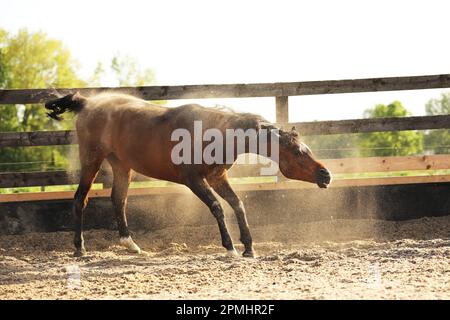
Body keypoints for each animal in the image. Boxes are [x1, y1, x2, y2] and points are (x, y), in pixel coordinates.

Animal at [44, 92, 330, 258]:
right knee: (80, 198)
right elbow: (217, 206)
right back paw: (79, 248)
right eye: (298, 152)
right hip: (91, 160)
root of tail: (87, 103)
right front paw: (230, 248)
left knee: (119, 199)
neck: (215, 133)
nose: (326, 175)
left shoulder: (217, 177)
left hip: (122, 166)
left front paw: (249, 247)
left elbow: (237, 204)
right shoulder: (194, 180)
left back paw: (131, 245)